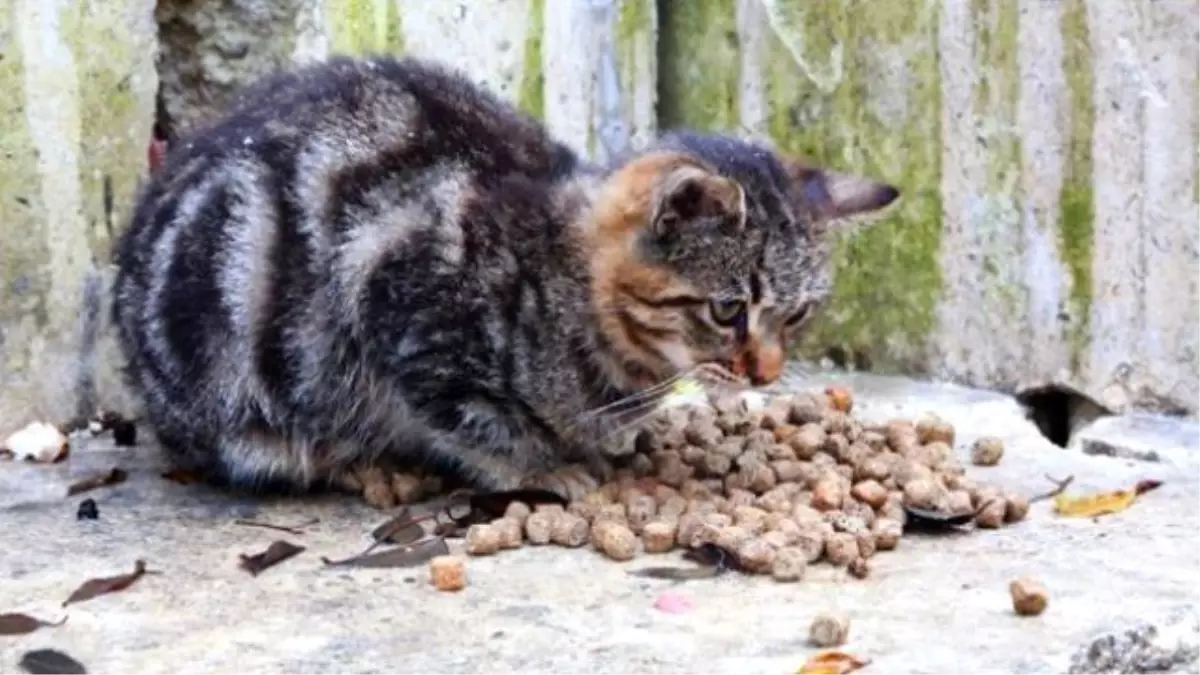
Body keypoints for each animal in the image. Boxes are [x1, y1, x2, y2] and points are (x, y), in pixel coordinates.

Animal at [110, 55, 902, 502]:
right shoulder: (408, 315)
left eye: (796, 315)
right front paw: (538, 466)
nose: (766, 372)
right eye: (729, 308)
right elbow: (474, 419)